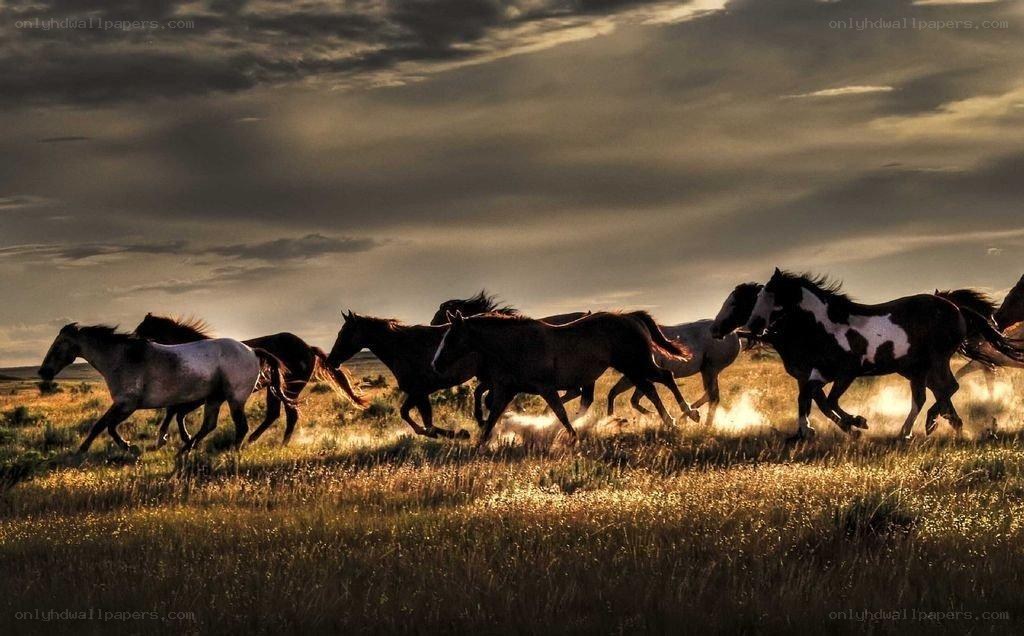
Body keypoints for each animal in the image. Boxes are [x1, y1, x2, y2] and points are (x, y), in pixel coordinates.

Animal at [38, 324, 292, 456]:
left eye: (58, 345)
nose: (43, 372)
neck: (123, 357)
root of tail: (252, 351)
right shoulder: (124, 405)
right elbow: (105, 425)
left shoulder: (126, 404)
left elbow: (104, 425)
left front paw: (118, 447)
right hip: (214, 398)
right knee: (209, 425)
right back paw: (184, 450)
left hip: (234, 398)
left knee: (241, 427)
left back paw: (230, 451)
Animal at [133, 314, 367, 448]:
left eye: (141, 329)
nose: (133, 343)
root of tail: (308, 347)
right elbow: (175, 411)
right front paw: (178, 439)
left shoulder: (200, 397)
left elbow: (175, 412)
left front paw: (174, 438)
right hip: (275, 390)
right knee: (275, 414)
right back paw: (255, 440)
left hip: (289, 388)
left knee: (289, 414)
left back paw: (275, 443)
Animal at [431, 311, 692, 446]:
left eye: (451, 337)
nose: (435, 364)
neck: (518, 346)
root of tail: (631, 317)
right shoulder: (507, 389)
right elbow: (493, 415)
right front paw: (480, 443)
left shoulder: (546, 388)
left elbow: (561, 413)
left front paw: (572, 438)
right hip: (633, 369)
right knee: (655, 385)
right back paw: (677, 418)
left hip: (635, 365)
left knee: (662, 380)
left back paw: (684, 415)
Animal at [723, 269, 1024, 440]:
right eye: (759, 296)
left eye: (770, 295)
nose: (754, 326)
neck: (827, 326)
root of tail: (956, 308)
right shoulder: (819, 373)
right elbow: (812, 398)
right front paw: (811, 429)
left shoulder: (846, 373)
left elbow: (827, 400)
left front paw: (856, 423)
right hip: (920, 367)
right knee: (930, 394)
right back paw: (920, 429)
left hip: (936, 359)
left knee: (947, 388)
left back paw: (932, 424)